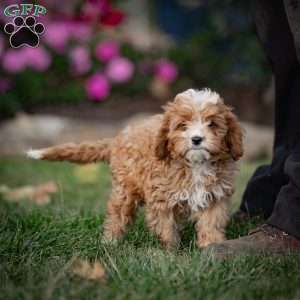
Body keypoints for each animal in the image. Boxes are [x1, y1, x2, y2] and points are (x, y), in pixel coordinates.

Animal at [27, 89, 244, 248]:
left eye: (212, 124)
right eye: (182, 125)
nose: (197, 139)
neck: (195, 165)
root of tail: (116, 139)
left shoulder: (215, 196)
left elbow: (211, 222)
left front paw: (212, 246)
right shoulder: (160, 198)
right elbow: (166, 227)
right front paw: (171, 252)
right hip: (125, 190)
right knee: (117, 214)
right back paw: (110, 242)